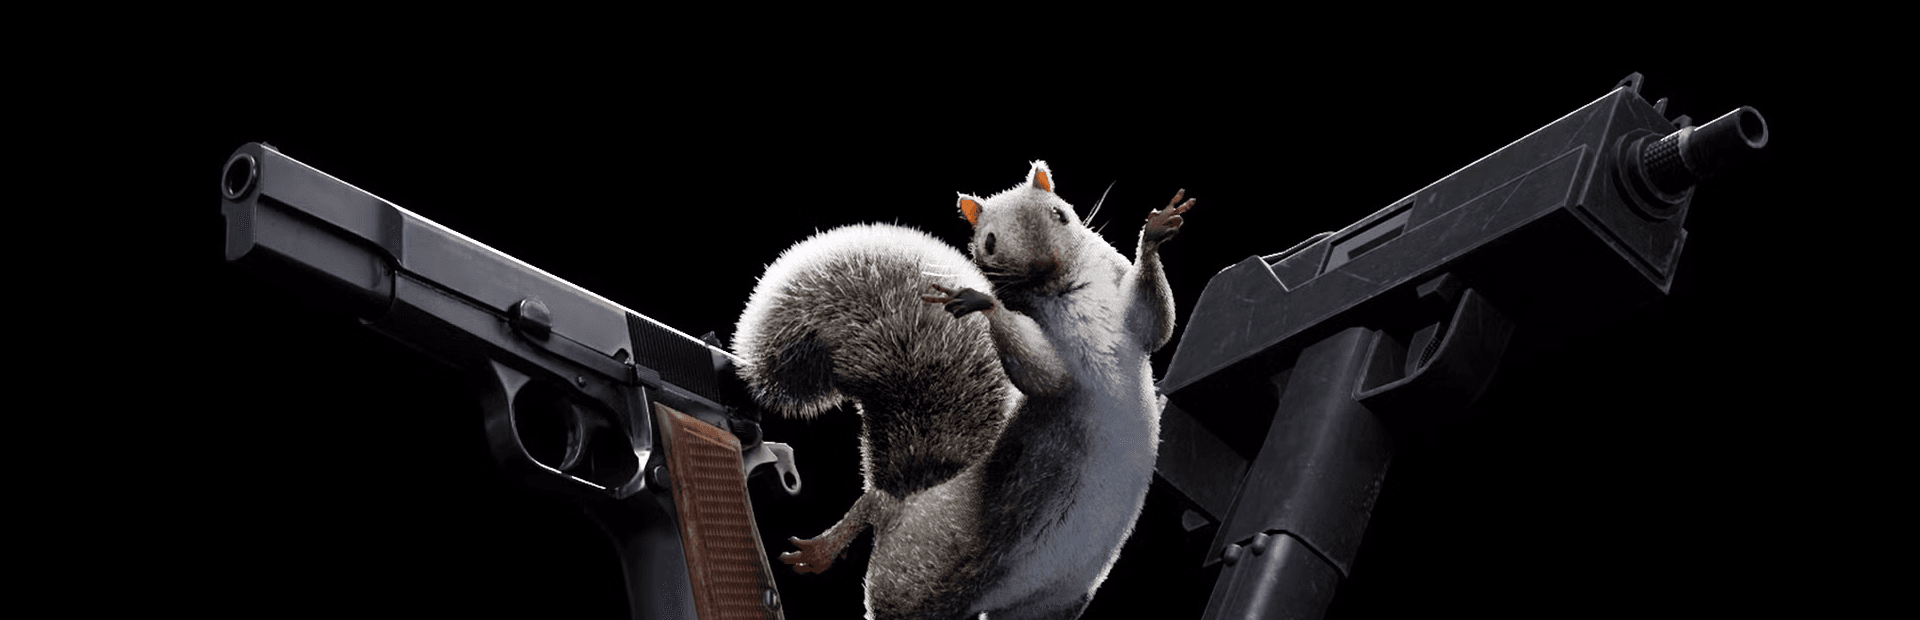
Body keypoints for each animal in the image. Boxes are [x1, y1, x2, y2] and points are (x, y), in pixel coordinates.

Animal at [730, 161, 1192, 619]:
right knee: (872, 506)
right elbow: (1045, 375)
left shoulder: (1124, 305)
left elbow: (1157, 322)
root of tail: (907, 502)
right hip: (918, 578)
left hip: (1051, 603)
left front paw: (1157, 229)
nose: (1046, 264)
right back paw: (821, 550)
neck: (1066, 293)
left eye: (1059, 213)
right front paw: (980, 300)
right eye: (989, 242)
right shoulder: (1055, 360)